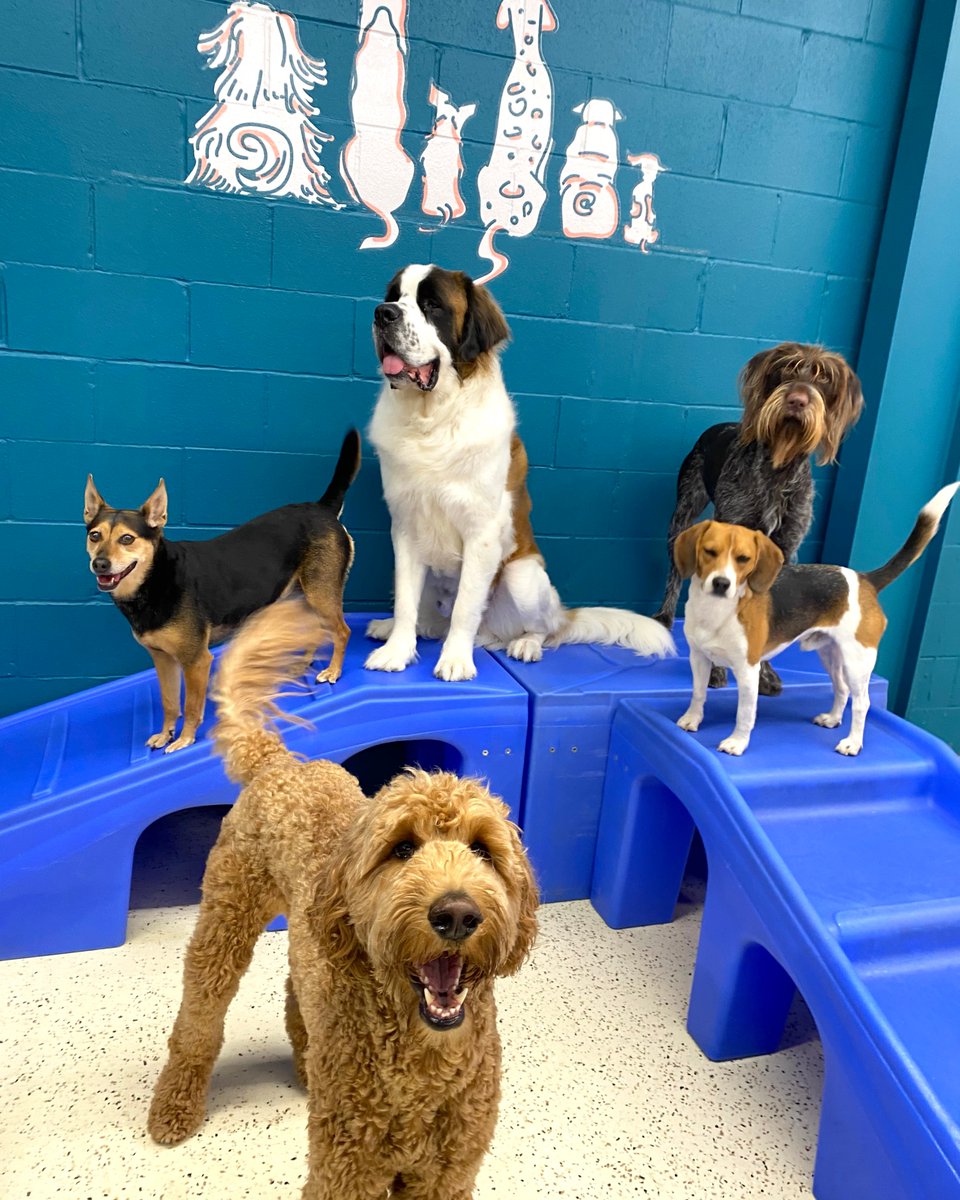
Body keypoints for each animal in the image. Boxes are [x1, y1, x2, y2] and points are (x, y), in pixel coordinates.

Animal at [81, 429, 360, 748]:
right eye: (94, 536)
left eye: (127, 539)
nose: (100, 564)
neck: (155, 580)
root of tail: (321, 507)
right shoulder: (163, 659)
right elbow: (169, 702)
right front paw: (165, 733)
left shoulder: (196, 661)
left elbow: (191, 706)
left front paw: (185, 739)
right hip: (301, 595)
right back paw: (302, 665)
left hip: (320, 593)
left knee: (342, 631)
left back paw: (333, 670)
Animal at [148, 600, 540, 1200]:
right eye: (402, 848)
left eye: (482, 849)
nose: (456, 914)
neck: (419, 1059)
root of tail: (281, 762)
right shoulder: (343, 1170)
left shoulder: (446, 1175)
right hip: (225, 921)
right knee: (198, 1017)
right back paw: (175, 1105)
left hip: (304, 937)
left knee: (297, 986)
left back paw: (306, 1060)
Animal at [657, 340, 864, 696]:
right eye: (785, 369)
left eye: (823, 378)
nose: (797, 399)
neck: (778, 469)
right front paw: (715, 670)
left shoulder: (785, 545)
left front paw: (765, 672)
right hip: (683, 513)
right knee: (674, 570)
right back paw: (665, 617)